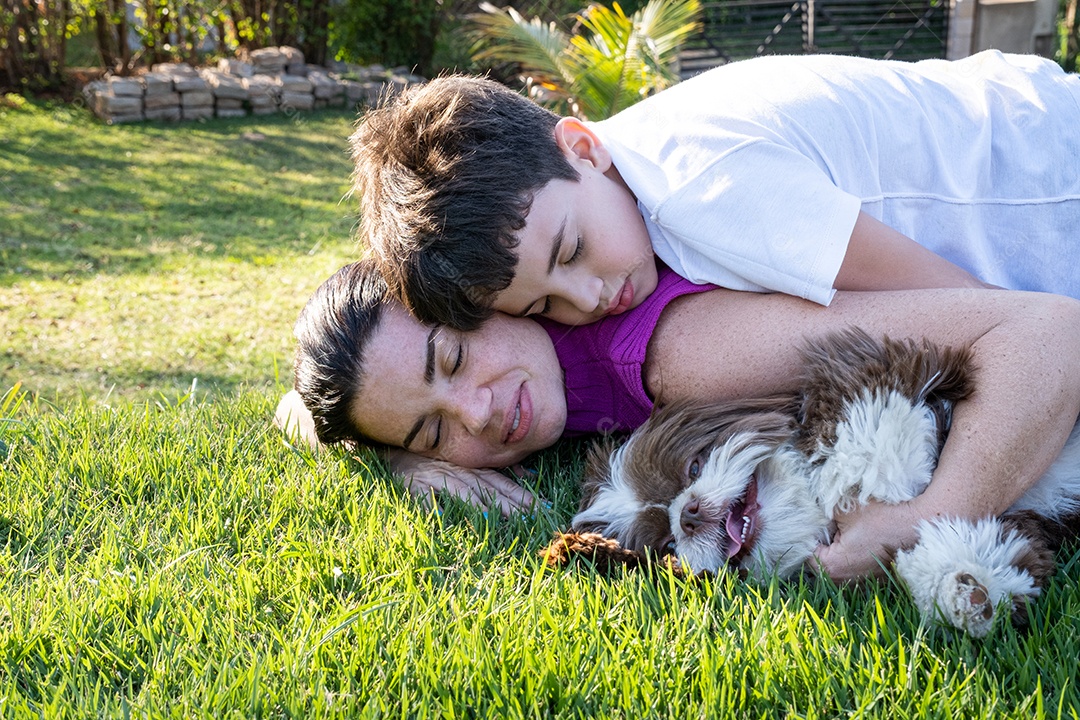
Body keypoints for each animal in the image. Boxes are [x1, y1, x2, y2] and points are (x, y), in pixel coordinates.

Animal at [565, 328, 1080, 634]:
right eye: (668, 544)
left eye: (693, 467)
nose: (688, 516)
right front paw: (963, 588)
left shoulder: (891, 370)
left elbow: (873, 420)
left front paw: (871, 475)